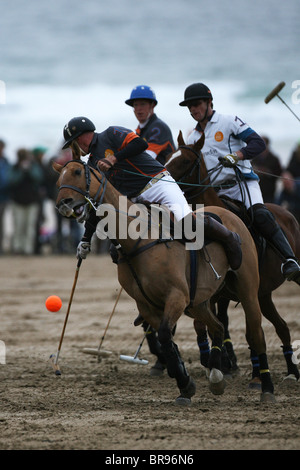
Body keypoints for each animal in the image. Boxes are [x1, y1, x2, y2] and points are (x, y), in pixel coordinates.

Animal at [52, 156, 276, 402]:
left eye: (76, 172)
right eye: (58, 180)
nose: (63, 203)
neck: (137, 240)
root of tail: (233, 215)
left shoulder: (176, 296)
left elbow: (166, 335)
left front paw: (184, 383)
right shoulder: (147, 304)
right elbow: (165, 340)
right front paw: (185, 384)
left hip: (248, 290)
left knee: (256, 334)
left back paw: (266, 387)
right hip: (198, 302)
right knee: (217, 327)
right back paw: (217, 375)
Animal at [164, 130, 300, 384]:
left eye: (185, 161)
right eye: (168, 157)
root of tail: (288, 213)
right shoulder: (211, 292)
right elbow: (205, 324)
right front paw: (215, 360)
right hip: (263, 294)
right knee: (281, 327)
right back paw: (289, 371)